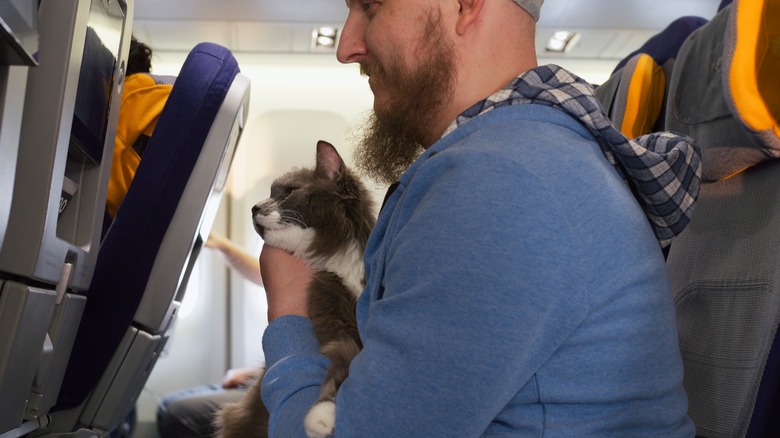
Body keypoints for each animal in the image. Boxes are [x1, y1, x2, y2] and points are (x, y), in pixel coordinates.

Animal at [212, 141, 374, 438]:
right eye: (270, 193)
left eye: (289, 191)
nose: (254, 207)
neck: (337, 260)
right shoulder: (335, 321)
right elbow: (344, 357)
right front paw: (323, 415)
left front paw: (322, 415)